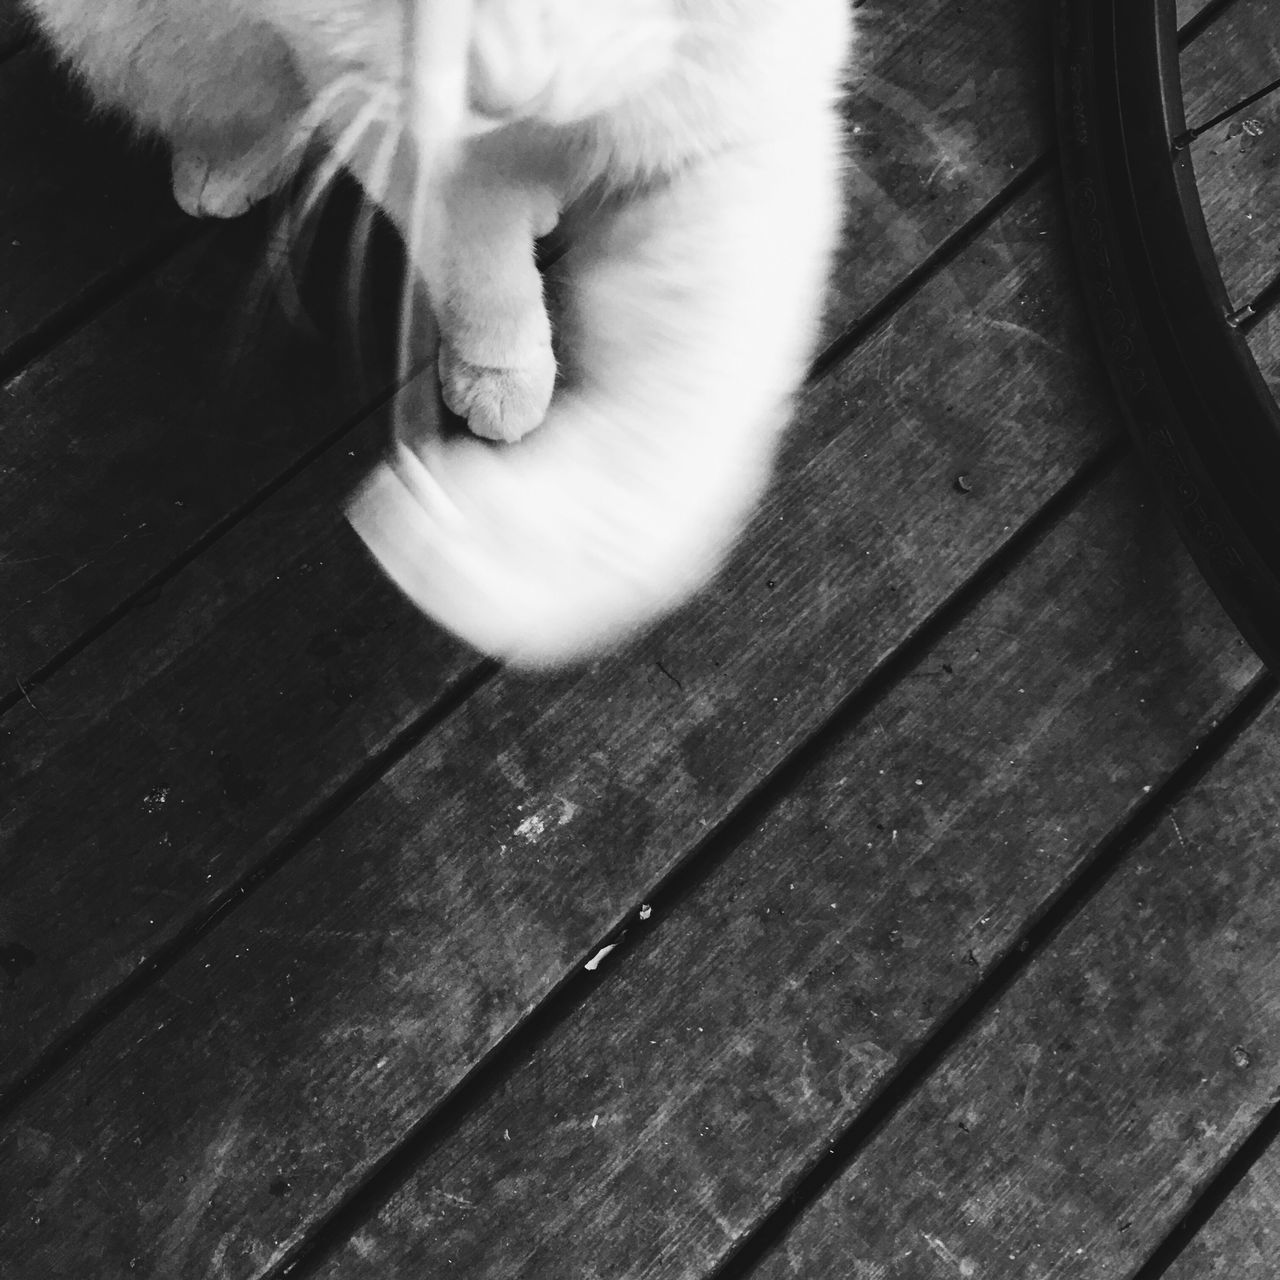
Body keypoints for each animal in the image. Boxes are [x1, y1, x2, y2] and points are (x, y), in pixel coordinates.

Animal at [24, 2, 849, 670]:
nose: (509, 81)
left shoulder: (734, 112)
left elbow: (684, 400)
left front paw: (532, 549)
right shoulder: (388, 112)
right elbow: (479, 271)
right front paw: (500, 377)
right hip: (136, 41)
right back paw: (227, 163)